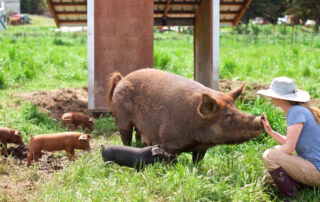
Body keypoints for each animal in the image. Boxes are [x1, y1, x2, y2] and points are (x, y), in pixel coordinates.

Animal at [106, 68, 262, 163]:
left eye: (236, 108)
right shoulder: (169, 143)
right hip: (122, 117)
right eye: (228, 115)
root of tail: (122, 79)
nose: (261, 118)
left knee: (138, 135)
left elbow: (197, 162)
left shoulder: (201, 148)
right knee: (126, 137)